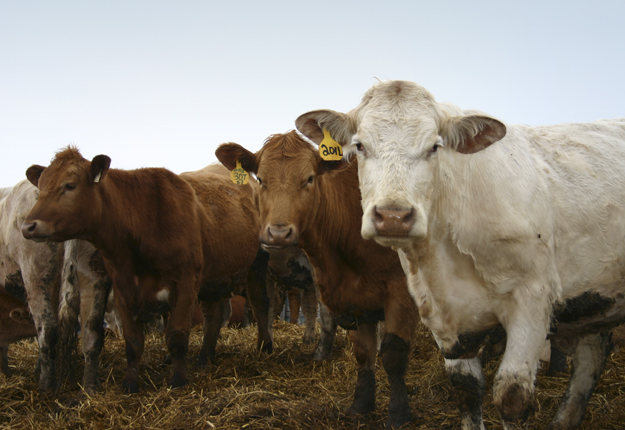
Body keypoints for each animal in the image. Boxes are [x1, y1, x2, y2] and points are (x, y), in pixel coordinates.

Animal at [21, 149, 270, 394]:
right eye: (41, 187)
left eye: (70, 185)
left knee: (260, 304)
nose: (28, 226)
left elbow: (177, 335)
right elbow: (133, 342)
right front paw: (130, 384)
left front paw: (178, 380)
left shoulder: (185, 283)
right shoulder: (122, 289)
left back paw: (265, 347)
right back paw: (204, 358)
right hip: (215, 275)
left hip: (258, 265)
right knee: (214, 316)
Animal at [217, 133, 416, 428]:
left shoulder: (400, 290)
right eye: (260, 179)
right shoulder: (349, 297)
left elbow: (393, 354)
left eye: (310, 178)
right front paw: (361, 404)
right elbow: (362, 352)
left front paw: (399, 414)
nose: (278, 234)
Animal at [296, 79, 624, 428]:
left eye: (434, 147)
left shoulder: (533, 300)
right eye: (359, 146)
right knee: (593, 352)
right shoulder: (443, 315)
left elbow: (511, 397)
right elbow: (466, 390)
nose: (394, 216)